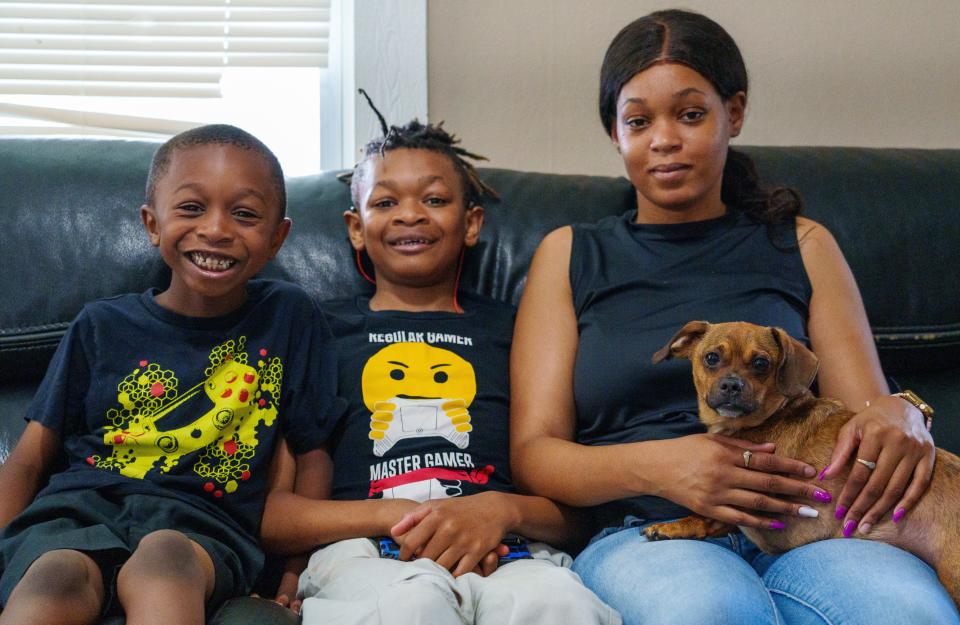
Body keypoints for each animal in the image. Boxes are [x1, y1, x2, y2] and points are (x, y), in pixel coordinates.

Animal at [644, 320, 960, 604]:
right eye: (712, 358)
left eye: (761, 363)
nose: (732, 385)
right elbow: (716, 517)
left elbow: (716, 514)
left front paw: (675, 526)